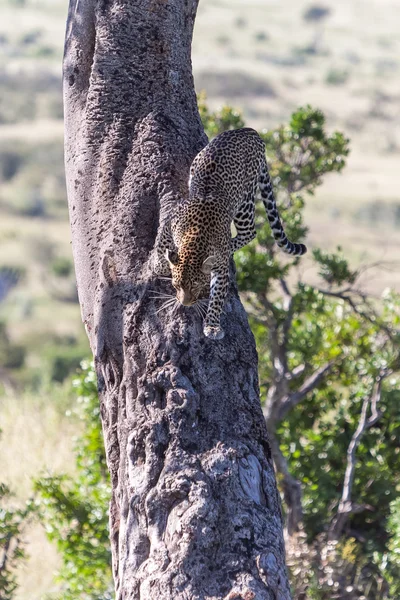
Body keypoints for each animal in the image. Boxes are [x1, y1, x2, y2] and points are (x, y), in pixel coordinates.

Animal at [155, 126, 306, 340]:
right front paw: (159, 263)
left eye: (195, 285)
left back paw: (232, 246)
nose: (185, 303)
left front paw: (212, 326)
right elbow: (162, 243)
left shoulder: (220, 269)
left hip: (245, 200)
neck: (194, 240)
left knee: (249, 232)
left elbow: (217, 297)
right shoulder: (171, 222)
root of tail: (251, 131)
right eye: (176, 285)